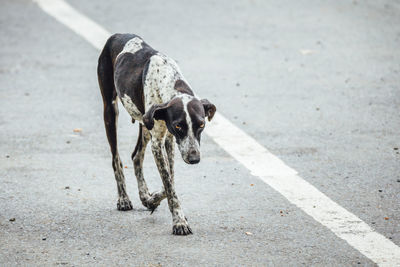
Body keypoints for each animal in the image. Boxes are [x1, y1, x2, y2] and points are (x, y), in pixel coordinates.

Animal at [97, 34, 216, 237]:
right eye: (178, 125)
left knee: (136, 156)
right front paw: (179, 221)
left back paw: (144, 195)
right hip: (110, 111)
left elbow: (170, 180)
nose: (194, 159)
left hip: (145, 125)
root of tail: (117, 35)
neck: (169, 80)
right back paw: (123, 198)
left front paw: (153, 199)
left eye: (201, 124)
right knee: (116, 159)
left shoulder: (168, 140)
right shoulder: (159, 142)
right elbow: (168, 183)